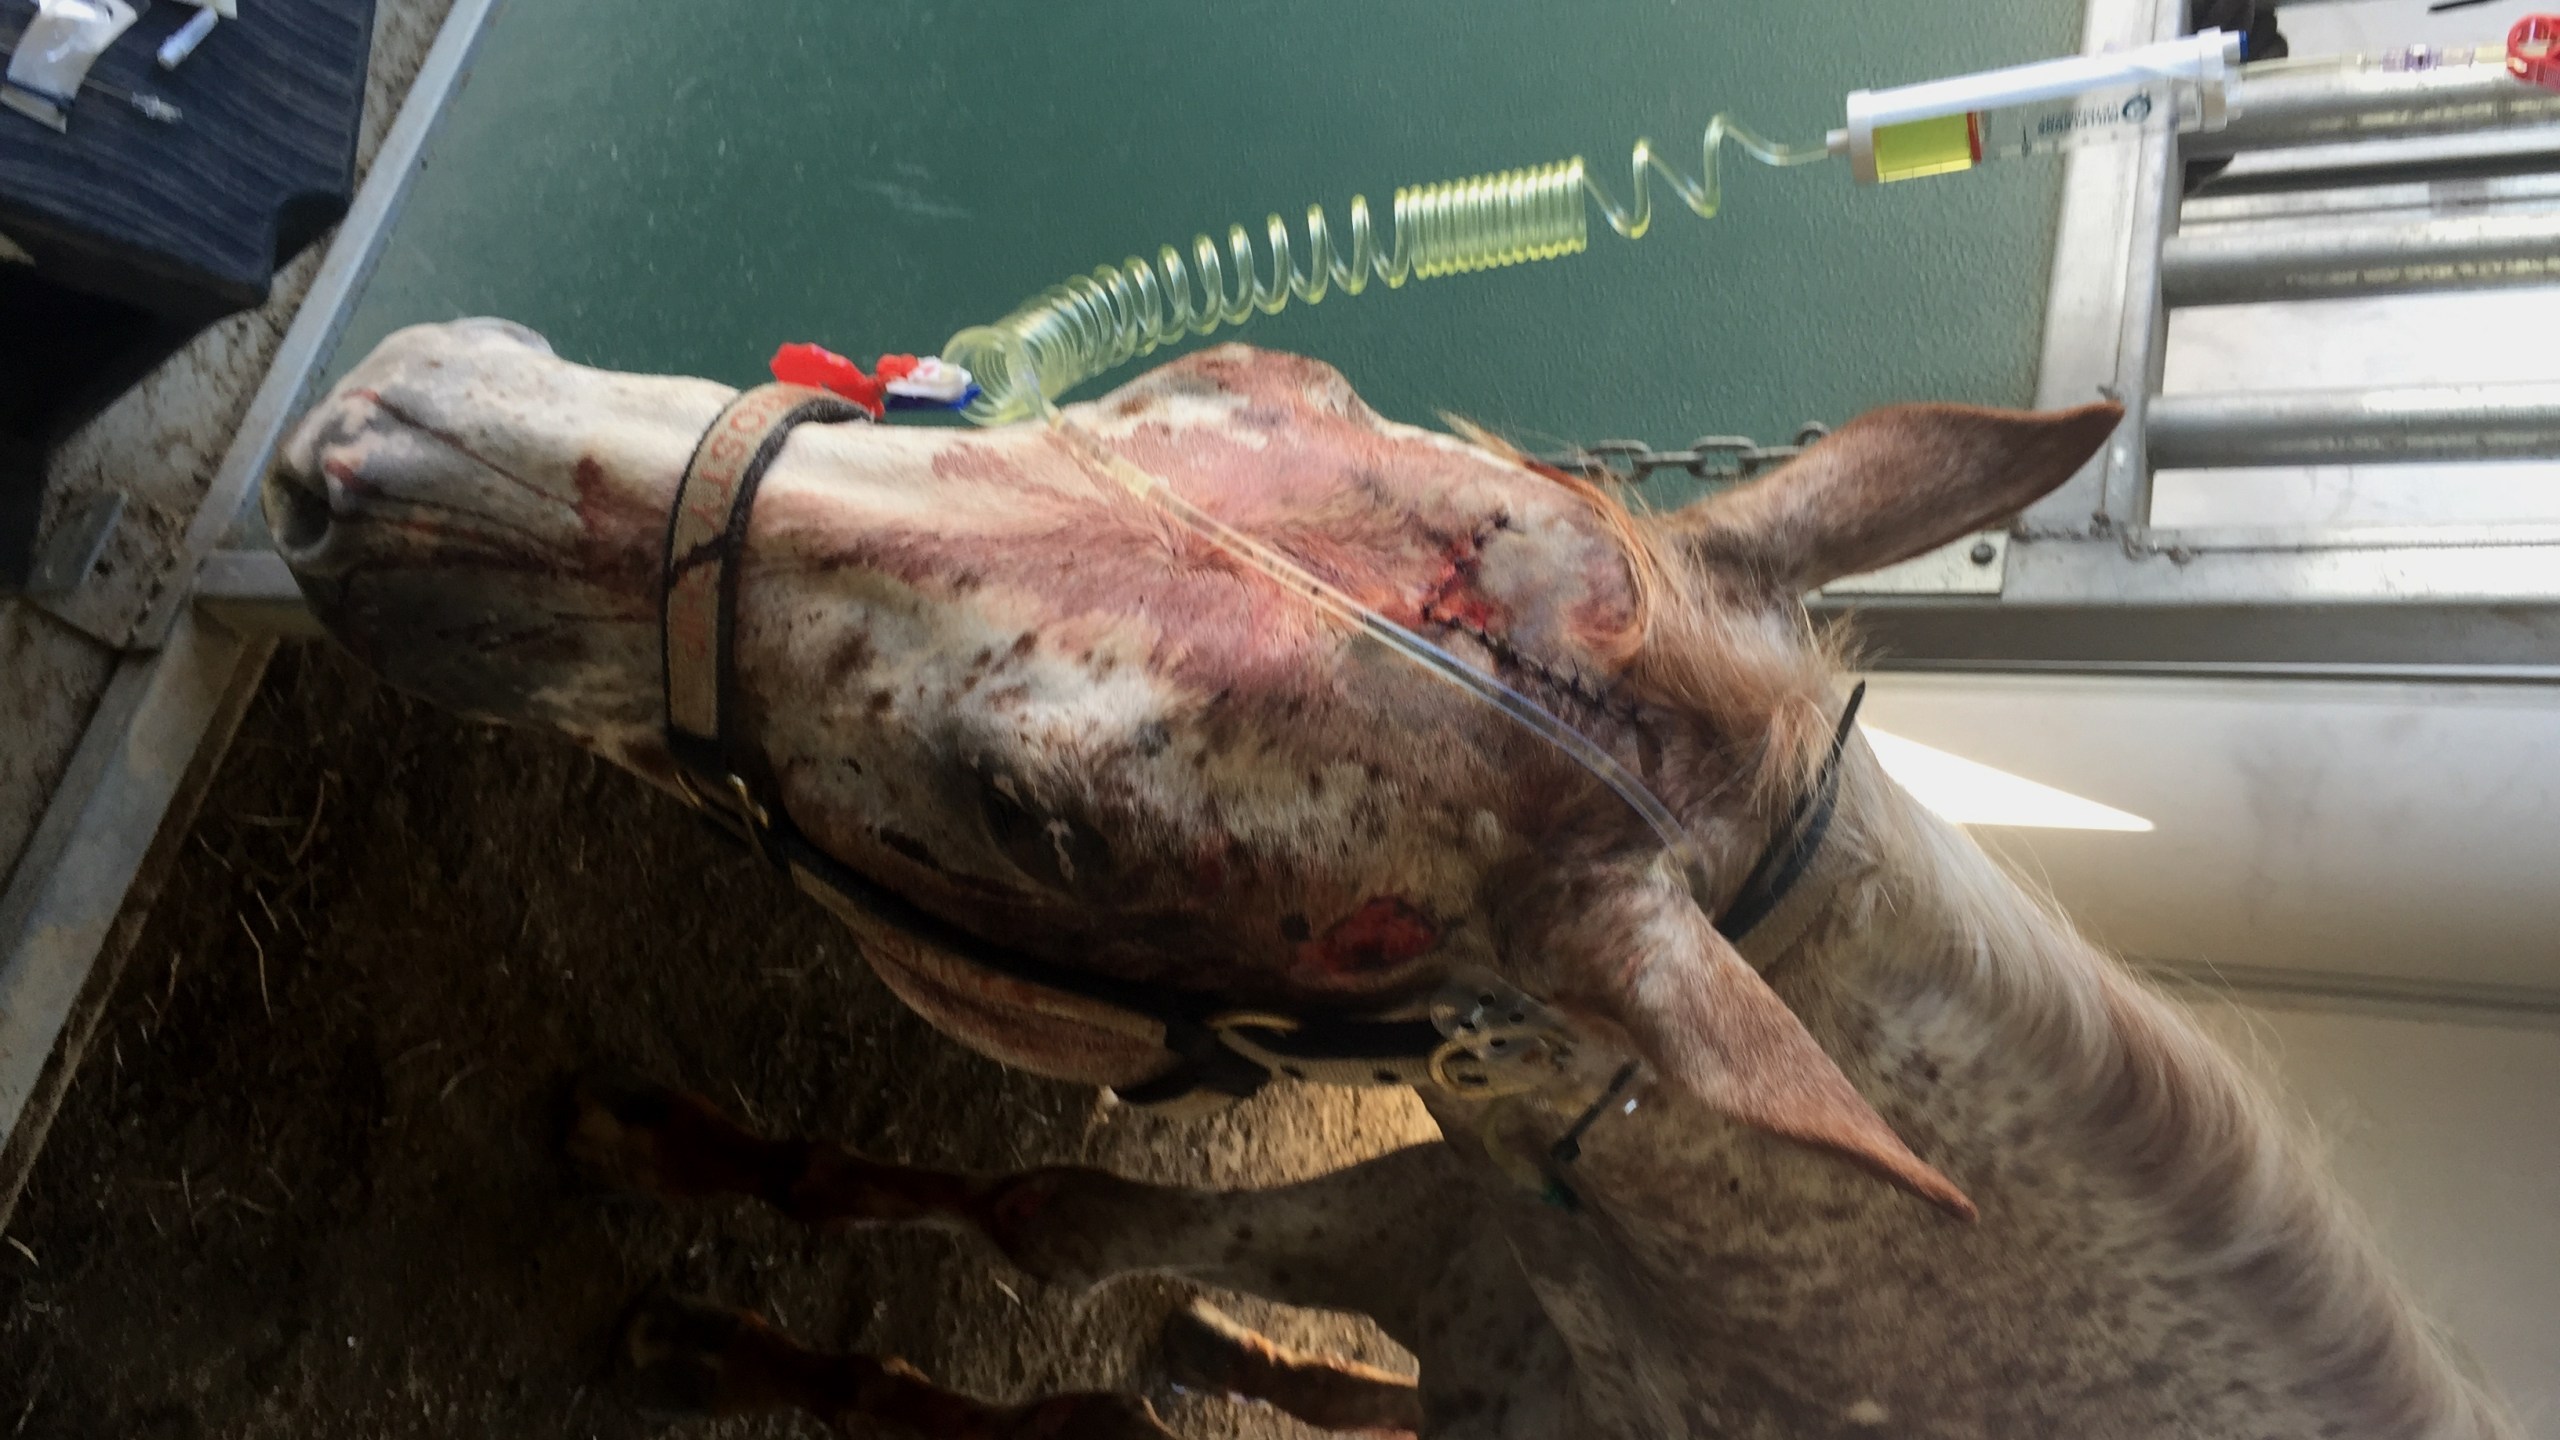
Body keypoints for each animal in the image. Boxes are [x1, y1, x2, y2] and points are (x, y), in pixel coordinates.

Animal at [262, 317, 2513, 1438]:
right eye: (1237, 378)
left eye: (1047, 823)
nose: (390, 427)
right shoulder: (1448, 1202)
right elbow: (1056, 1215)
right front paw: (670, 1181)